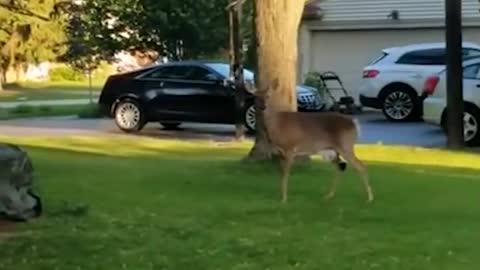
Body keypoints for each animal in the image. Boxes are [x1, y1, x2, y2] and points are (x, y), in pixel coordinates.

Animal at [244, 79, 376, 204]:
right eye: (256, 96)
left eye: (269, 95)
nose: (264, 106)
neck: (277, 124)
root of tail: (354, 122)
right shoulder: (280, 152)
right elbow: (281, 174)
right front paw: (282, 197)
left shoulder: (290, 149)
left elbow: (286, 175)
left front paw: (284, 199)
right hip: (332, 151)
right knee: (341, 167)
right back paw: (329, 196)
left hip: (346, 146)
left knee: (361, 167)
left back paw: (369, 198)